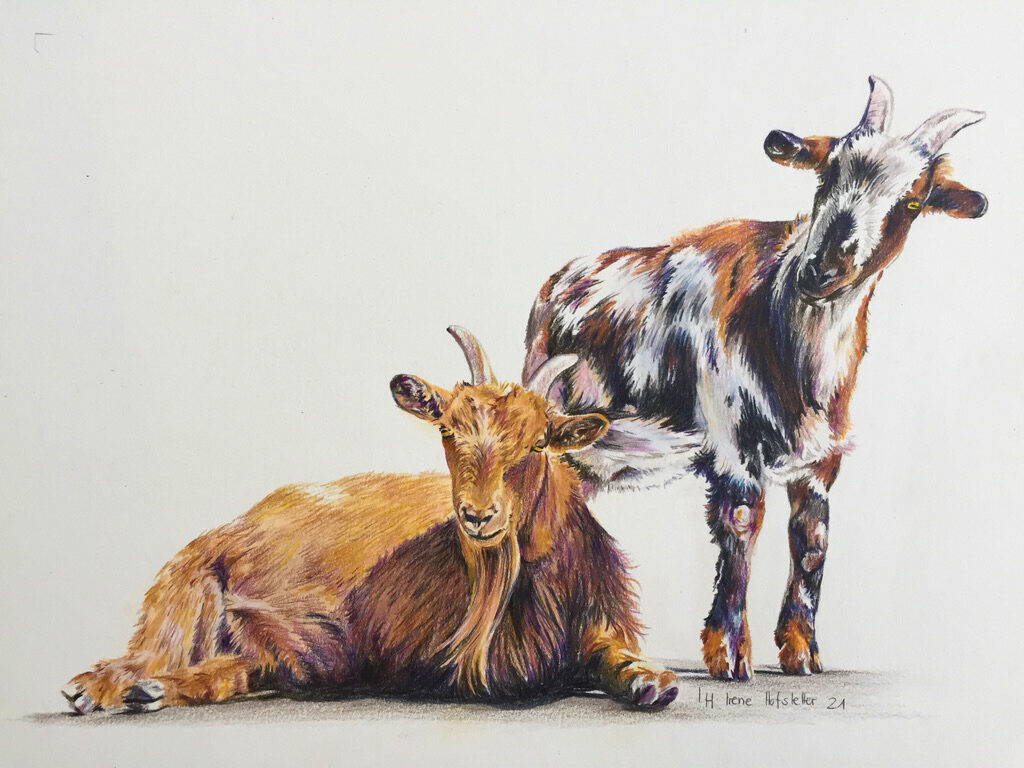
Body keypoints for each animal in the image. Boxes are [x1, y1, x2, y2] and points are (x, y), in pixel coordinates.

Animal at [62, 327, 678, 714]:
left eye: (537, 444)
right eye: (448, 430)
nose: (478, 516)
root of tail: (235, 525)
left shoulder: (602, 620)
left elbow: (616, 656)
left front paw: (652, 683)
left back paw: (139, 690)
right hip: (191, 585)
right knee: (166, 656)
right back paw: (101, 687)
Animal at [523, 77, 986, 681]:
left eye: (911, 202)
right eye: (825, 176)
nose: (821, 271)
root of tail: (558, 283)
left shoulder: (820, 460)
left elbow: (812, 540)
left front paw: (802, 652)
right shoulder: (731, 444)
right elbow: (742, 525)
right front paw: (728, 652)